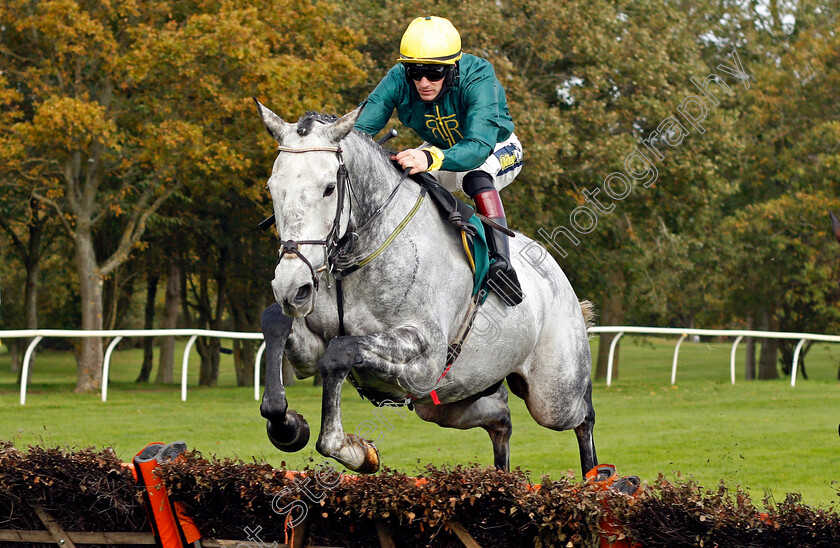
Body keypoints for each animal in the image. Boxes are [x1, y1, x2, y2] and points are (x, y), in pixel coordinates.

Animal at [256, 101, 596, 476]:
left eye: (329, 188)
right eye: (272, 188)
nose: (292, 287)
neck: (359, 259)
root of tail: (556, 273)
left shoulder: (425, 357)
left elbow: (341, 352)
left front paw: (354, 450)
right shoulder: (312, 349)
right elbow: (276, 323)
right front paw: (288, 426)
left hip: (553, 394)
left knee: (582, 416)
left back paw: (602, 478)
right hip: (450, 399)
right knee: (501, 420)